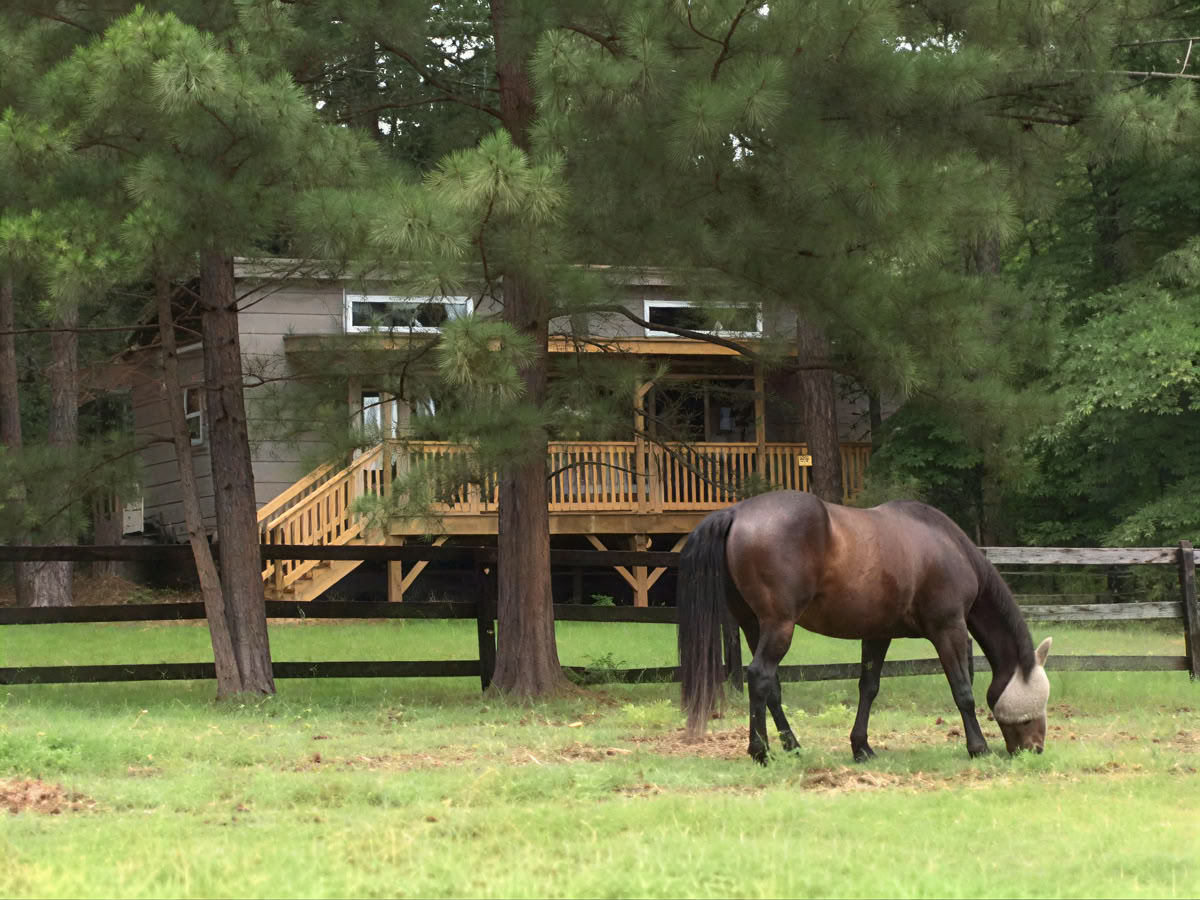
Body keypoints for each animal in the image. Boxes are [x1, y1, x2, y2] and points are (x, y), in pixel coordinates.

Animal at [676, 491, 1052, 763]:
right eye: (1031, 711)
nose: (1035, 749)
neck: (946, 545)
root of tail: (736, 513)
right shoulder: (949, 629)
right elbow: (963, 690)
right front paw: (978, 747)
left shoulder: (877, 634)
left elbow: (868, 688)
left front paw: (861, 748)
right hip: (779, 626)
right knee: (759, 676)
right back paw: (761, 752)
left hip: (755, 626)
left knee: (772, 687)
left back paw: (792, 746)